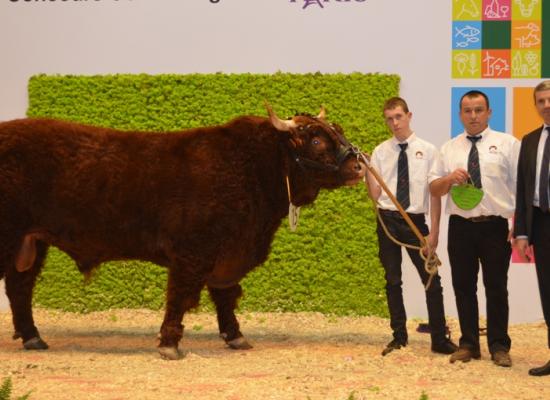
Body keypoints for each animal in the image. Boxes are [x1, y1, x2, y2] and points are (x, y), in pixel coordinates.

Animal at [1, 105, 366, 360]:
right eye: (316, 140)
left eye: (337, 131)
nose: (359, 166)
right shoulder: (192, 253)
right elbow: (180, 297)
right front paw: (169, 344)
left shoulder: (227, 256)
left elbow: (225, 297)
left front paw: (236, 336)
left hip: (32, 242)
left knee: (20, 287)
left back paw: (33, 337)